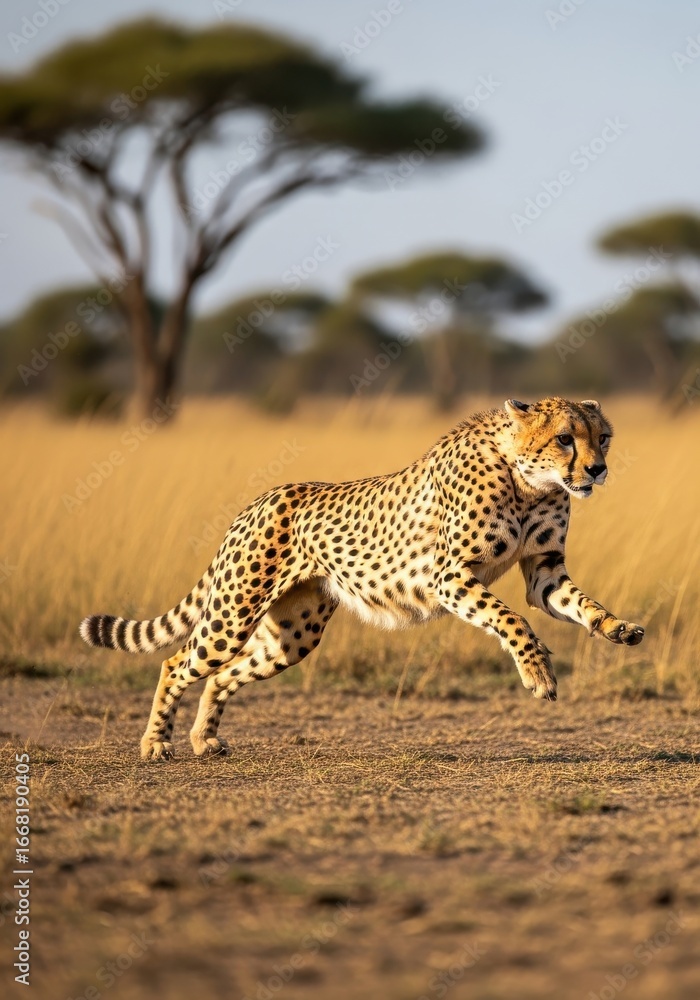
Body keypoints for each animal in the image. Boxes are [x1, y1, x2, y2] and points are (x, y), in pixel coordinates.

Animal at [80, 396, 644, 760]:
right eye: (565, 439)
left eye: (603, 438)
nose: (597, 470)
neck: (526, 479)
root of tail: (261, 498)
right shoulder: (450, 577)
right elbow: (510, 621)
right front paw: (538, 672)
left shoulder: (543, 569)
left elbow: (580, 603)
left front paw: (616, 628)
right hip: (234, 612)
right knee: (177, 662)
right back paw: (156, 743)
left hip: (292, 635)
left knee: (223, 674)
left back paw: (204, 739)